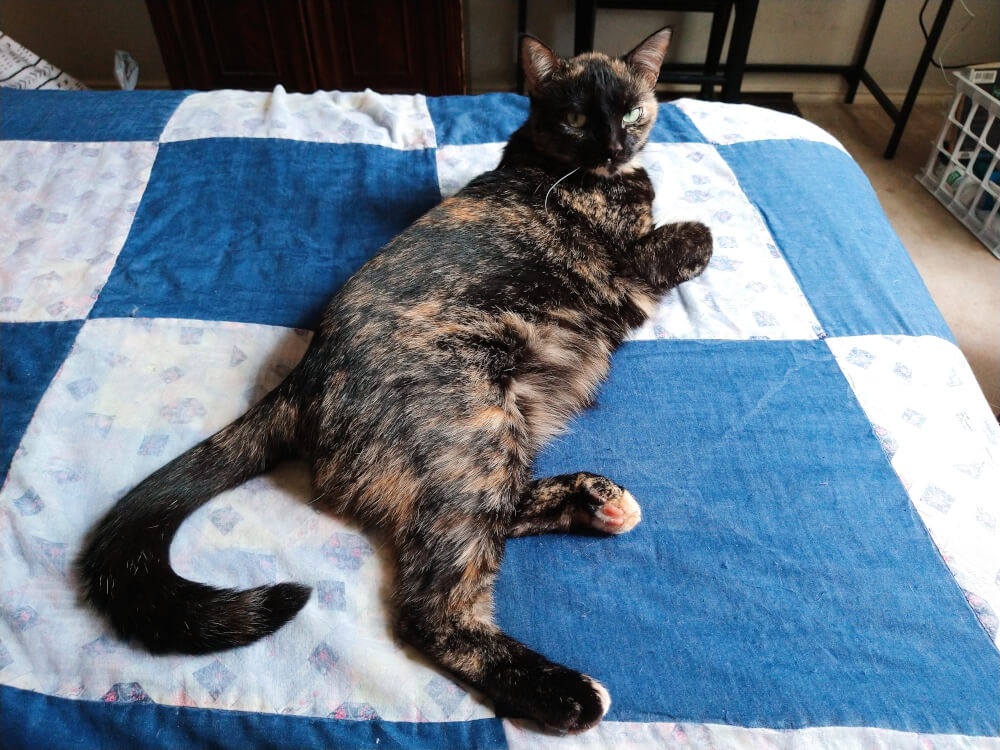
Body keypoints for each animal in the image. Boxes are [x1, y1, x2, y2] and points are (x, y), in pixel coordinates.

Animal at [80, 27, 712, 736]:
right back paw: (566, 691)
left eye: (633, 114)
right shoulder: (627, 265)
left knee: (488, 513)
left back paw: (596, 499)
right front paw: (691, 228)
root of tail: (302, 377)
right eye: (577, 118)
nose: (614, 148)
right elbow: (699, 233)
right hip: (473, 425)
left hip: (490, 437)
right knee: (430, 604)